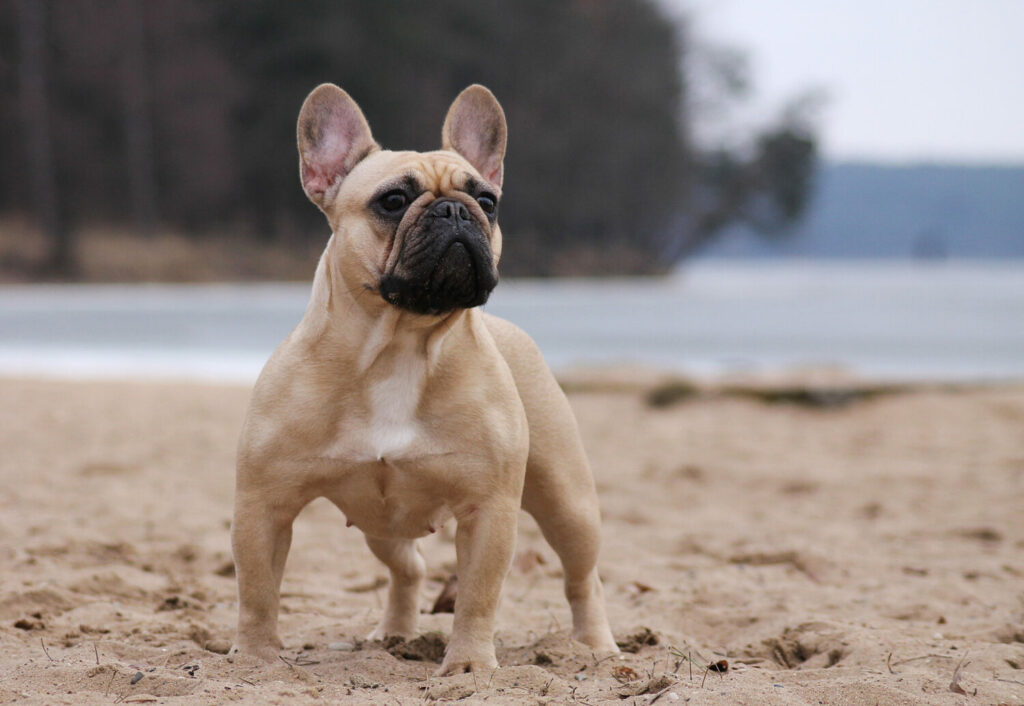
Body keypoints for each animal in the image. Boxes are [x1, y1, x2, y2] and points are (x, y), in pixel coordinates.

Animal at [232, 82, 614, 672]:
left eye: (488, 202)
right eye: (392, 201)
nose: (456, 210)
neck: (400, 345)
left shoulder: (488, 509)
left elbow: (478, 594)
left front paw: (470, 665)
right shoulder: (263, 505)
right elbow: (257, 590)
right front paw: (253, 658)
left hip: (566, 502)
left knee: (582, 577)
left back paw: (596, 647)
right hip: (379, 519)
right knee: (407, 566)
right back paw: (394, 634)